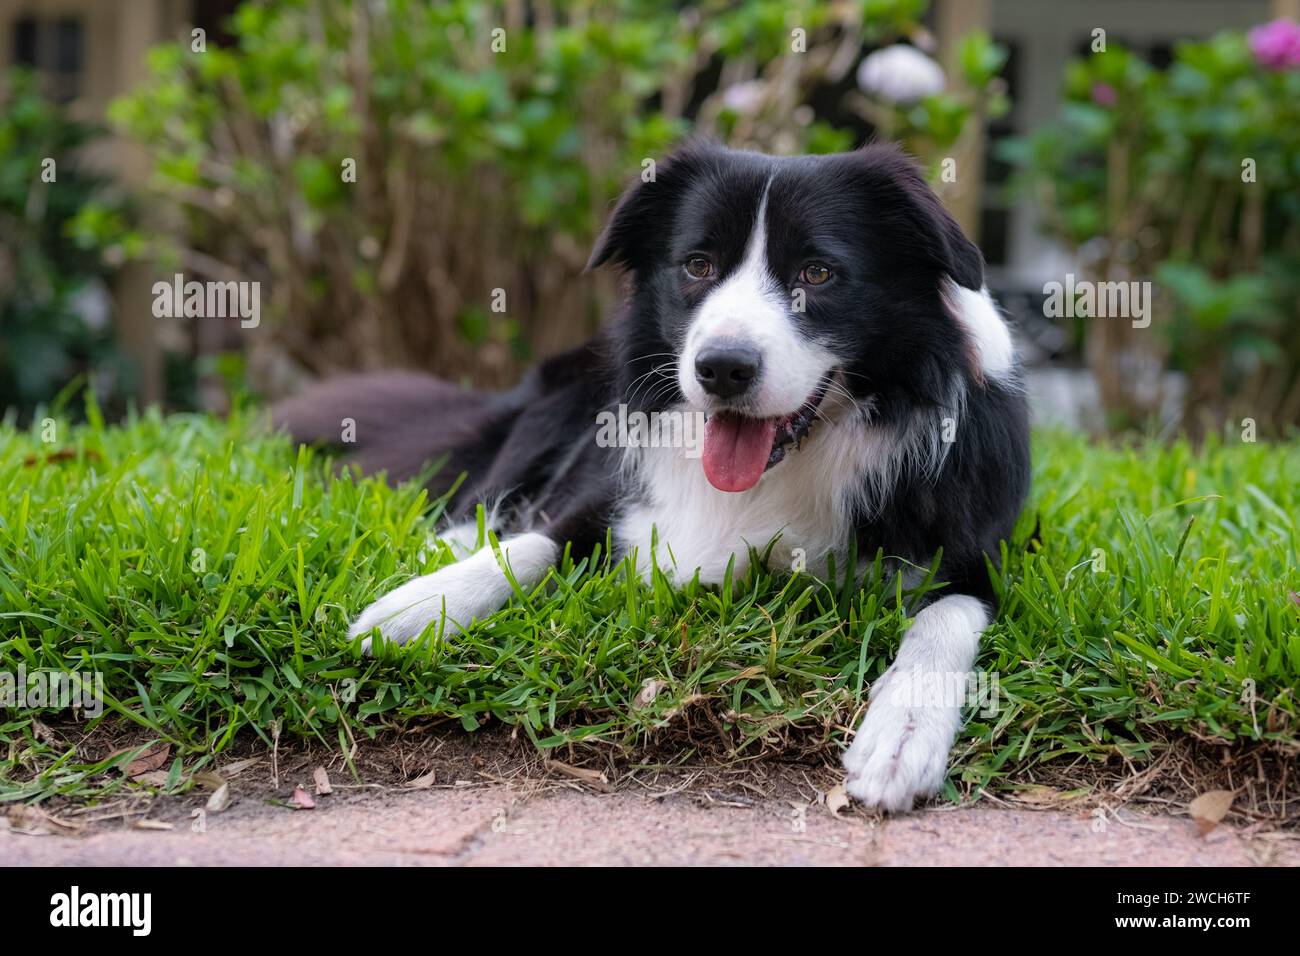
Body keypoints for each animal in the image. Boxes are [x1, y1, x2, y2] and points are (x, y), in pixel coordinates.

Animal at [279, 141, 1029, 811]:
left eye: (818, 274)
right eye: (697, 265)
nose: (722, 368)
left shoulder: (971, 552)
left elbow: (945, 619)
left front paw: (901, 737)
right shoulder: (612, 494)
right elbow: (535, 544)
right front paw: (415, 609)